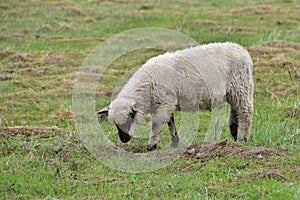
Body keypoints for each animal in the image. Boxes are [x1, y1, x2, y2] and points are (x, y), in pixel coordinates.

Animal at [98, 42, 253, 152]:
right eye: (115, 124)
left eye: (129, 119)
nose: (124, 140)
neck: (148, 83)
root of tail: (241, 49)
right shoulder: (166, 103)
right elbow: (170, 122)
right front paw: (174, 142)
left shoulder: (165, 102)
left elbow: (157, 124)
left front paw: (151, 147)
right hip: (233, 92)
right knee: (235, 110)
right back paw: (234, 133)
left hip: (242, 88)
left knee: (245, 112)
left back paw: (243, 138)